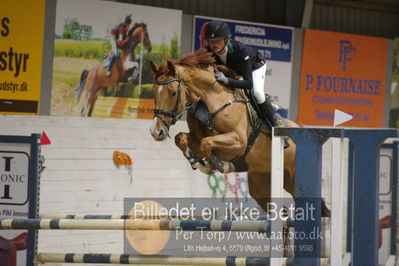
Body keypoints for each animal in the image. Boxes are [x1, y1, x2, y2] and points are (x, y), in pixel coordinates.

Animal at [150, 48, 332, 217]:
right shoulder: (198, 136)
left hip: (294, 180)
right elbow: (182, 138)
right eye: (153, 93)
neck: (211, 99)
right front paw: (196, 160)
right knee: (282, 212)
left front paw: (214, 165)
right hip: (260, 182)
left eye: (173, 93)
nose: (155, 132)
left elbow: (206, 144)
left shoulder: (238, 141)